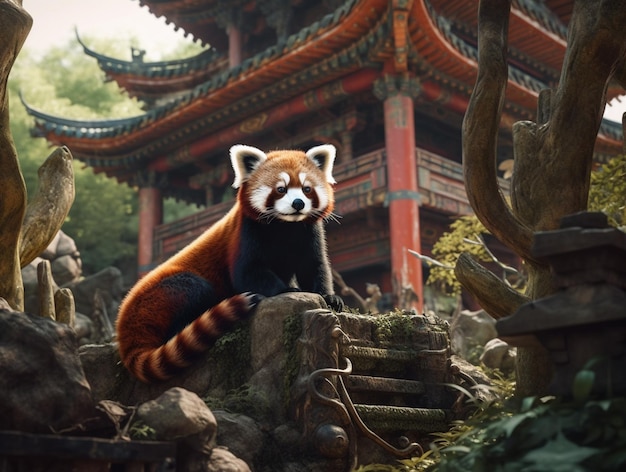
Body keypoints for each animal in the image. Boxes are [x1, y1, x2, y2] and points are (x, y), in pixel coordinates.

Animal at [116, 145, 342, 384]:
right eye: (281, 189)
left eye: (307, 189)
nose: (298, 204)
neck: (286, 226)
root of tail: (123, 325)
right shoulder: (245, 232)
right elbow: (248, 273)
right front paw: (287, 289)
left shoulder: (308, 233)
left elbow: (314, 267)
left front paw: (329, 297)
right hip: (163, 295)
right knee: (194, 289)